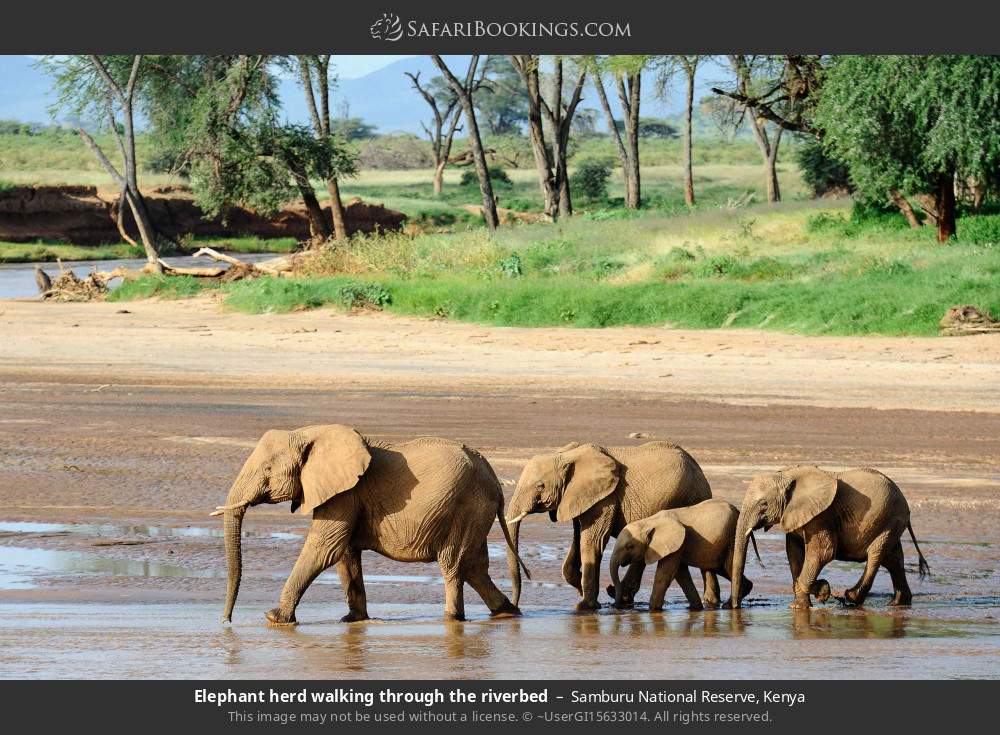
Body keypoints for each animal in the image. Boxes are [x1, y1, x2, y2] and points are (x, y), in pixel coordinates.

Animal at [213, 425, 529, 625]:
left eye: (268, 469)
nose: (226, 620)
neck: (307, 433)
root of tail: (493, 477)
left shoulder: (344, 494)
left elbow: (324, 548)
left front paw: (274, 618)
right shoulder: (346, 494)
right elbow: (345, 555)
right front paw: (353, 621)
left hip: (464, 506)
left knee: (454, 564)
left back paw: (453, 620)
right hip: (475, 510)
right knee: (475, 566)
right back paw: (506, 613)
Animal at [505, 440, 714, 612]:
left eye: (540, 486)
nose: (515, 605)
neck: (567, 455)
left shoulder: (605, 498)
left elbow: (592, 542)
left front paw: (584, 606)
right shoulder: (579, 497)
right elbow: (577, 541)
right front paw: (585, 593)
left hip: (685, 498)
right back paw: (621, 597)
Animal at [608, 499, 762, 610]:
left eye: (629, 547)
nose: (617, 607)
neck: (648, 522)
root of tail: (738, 511)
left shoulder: (675, 545)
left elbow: (665, 575)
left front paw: (652, 610)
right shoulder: (677, 546)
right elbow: (681, 574)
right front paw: (695, 608)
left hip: (731, 538)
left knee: (729, 567)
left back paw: (729, 605)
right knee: (720, 568)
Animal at [730, 465, 930, 610]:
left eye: (763, 504)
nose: (734, 607)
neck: (786, 474)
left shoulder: (821, 515)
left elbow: (823, 552)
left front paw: (802, 604)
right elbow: (793, 552)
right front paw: (817, 593)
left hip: (890, 518)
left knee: (876, 553)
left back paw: (851, 597)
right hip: (891, 521)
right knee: (893, 559)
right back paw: (898, 604)